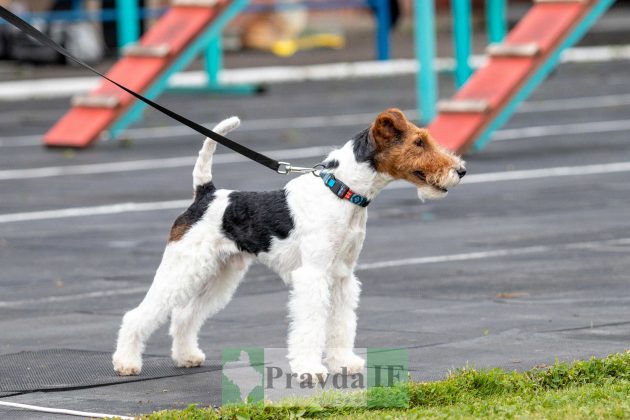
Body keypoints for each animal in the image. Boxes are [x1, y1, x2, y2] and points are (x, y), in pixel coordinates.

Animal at [113, 108, 466, 378]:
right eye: (418, 142)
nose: (461, 170)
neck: (342, 191)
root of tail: (206, 194)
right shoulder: (314, 275)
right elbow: (311, 325)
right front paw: (311, 370)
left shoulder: (342, 276)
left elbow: (341, 323)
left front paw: (344, 362)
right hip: (184, 267)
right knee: (138, 315)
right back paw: (126, 363)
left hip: (221, 274)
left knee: (185, 315)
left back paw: (187, 356)